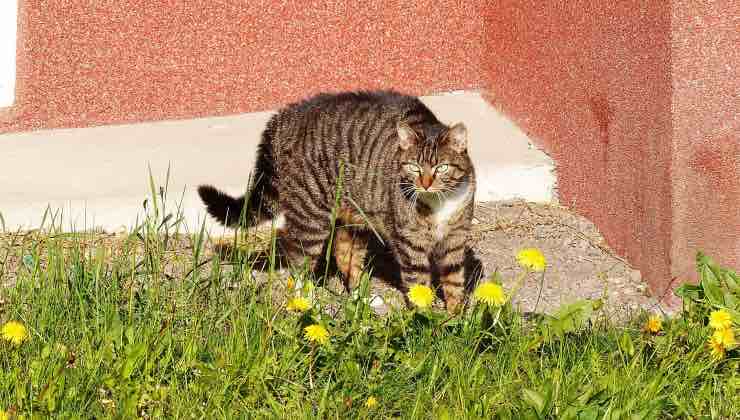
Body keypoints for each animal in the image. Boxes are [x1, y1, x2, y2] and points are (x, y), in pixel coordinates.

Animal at [198, 89, 474, 312]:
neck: (439, 201)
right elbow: (418, 284)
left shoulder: (456, 240)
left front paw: (456, 318)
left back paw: (362, 298)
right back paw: (307, 302)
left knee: (344, 255)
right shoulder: (410, 244)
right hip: (310, 218)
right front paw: (425, 321)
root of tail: (284, 117)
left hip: (356, 217)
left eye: (442, 167)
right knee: (296, 258)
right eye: (414, 168)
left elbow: (454, 281)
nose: (425, 183)